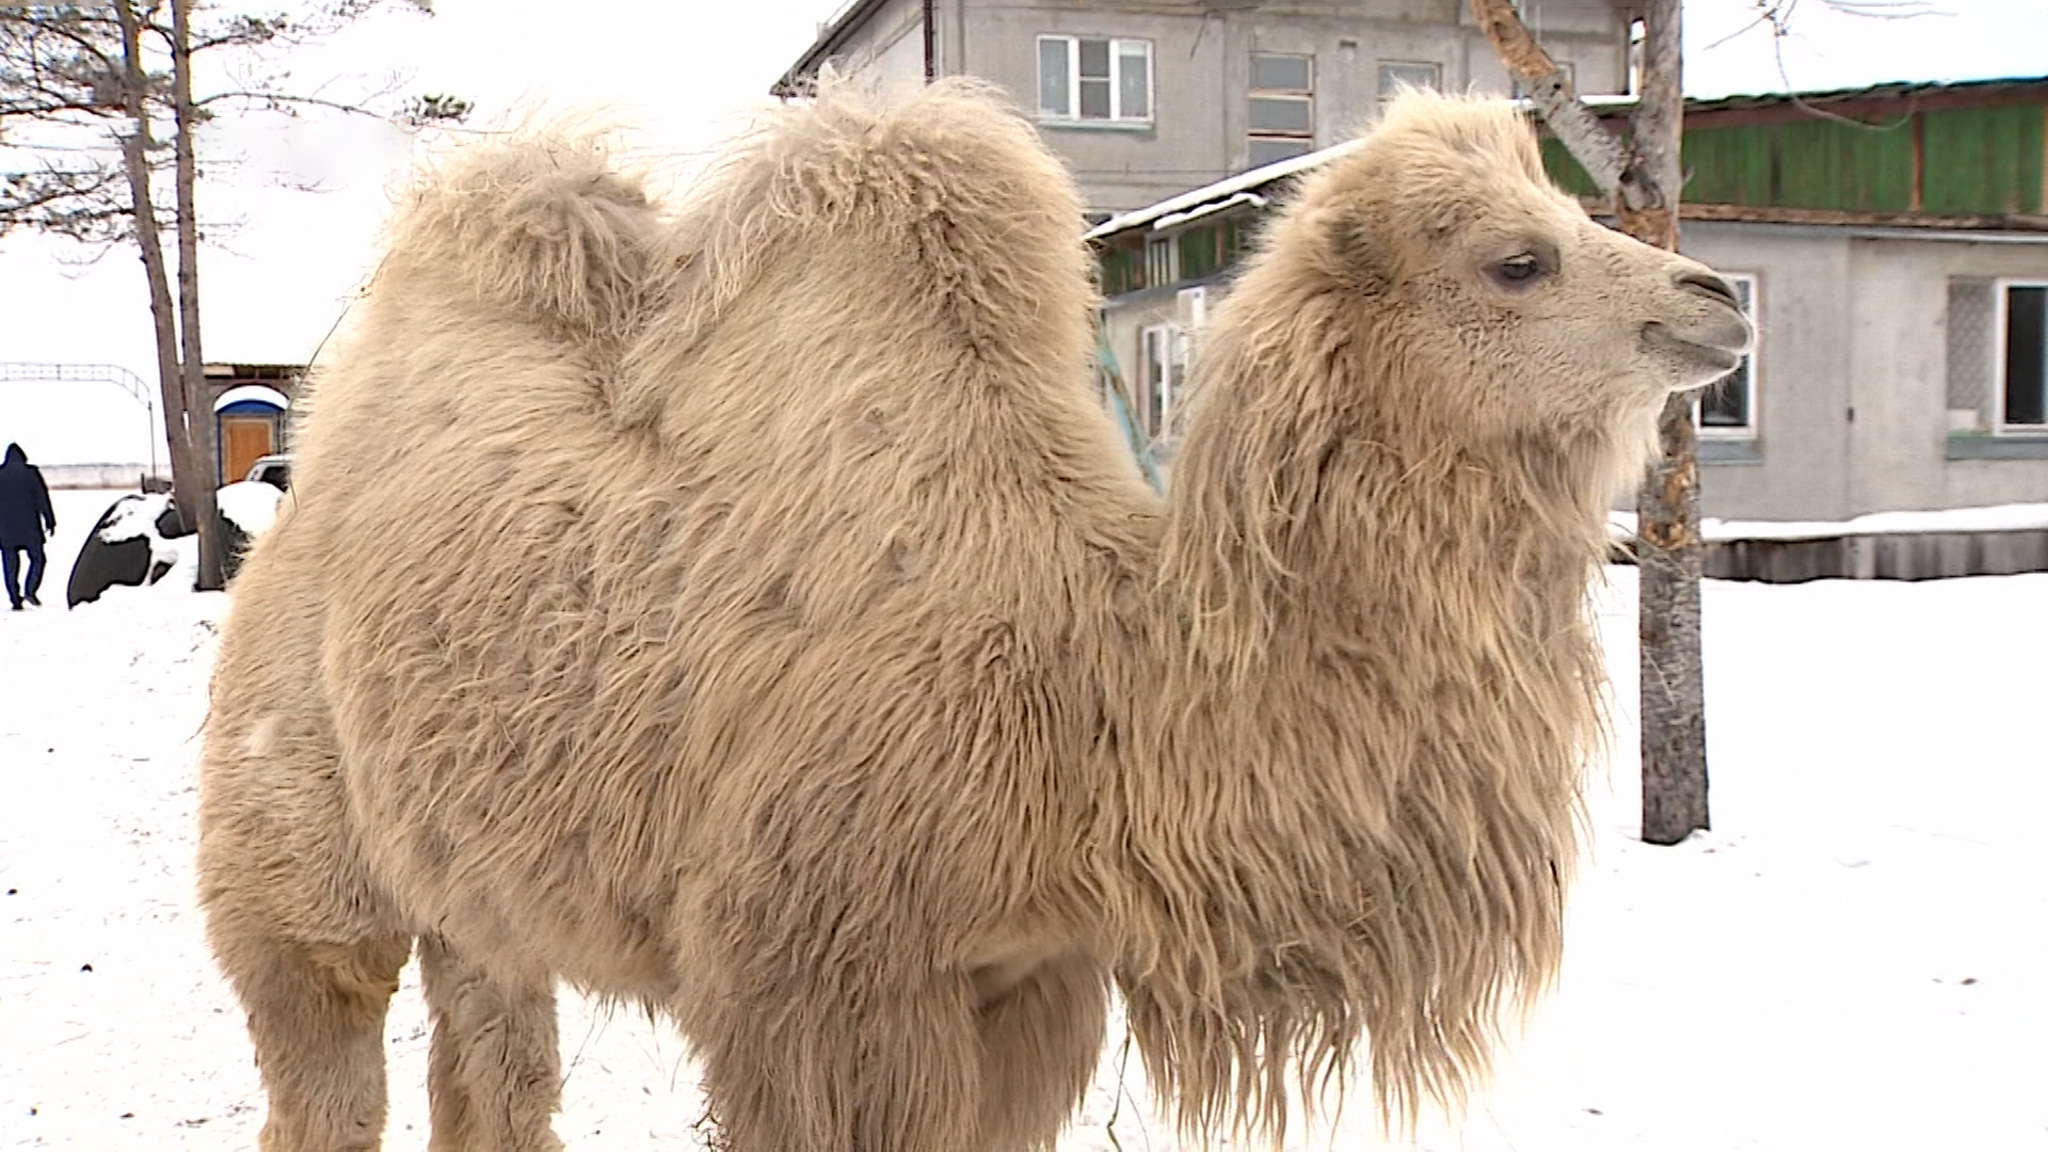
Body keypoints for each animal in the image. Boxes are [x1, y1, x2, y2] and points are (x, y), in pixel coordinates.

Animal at [196, 80, 1751, 1151]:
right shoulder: (813, 982)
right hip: (294, 834)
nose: (1715, 296)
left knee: (494, 1063)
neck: (1096, 690)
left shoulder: (1029, 980)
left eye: (1569, 214)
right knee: (322, 1044)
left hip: (477, 884)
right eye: (1514, 259)